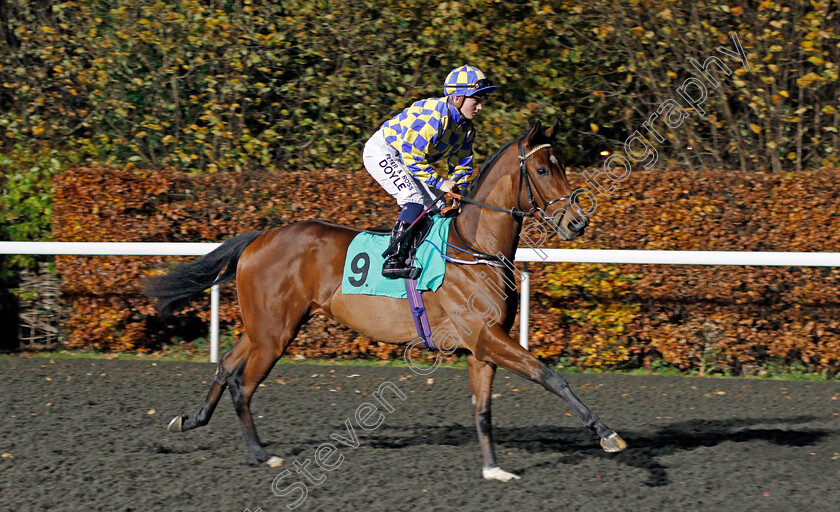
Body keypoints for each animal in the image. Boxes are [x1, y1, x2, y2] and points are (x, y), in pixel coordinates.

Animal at [146, 119, 624, 480]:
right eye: (543, 171)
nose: (577, 222)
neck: (473, 247)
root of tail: (260, 237)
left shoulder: (482, 347)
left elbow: (483, 410)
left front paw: (493, 469)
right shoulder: (487, 337)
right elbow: (551, 376)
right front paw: (606, 433)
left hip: (268, 326)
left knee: (226, 366)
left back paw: (190, 420)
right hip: (274, 333)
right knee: (242, 384)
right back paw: (263, 454)